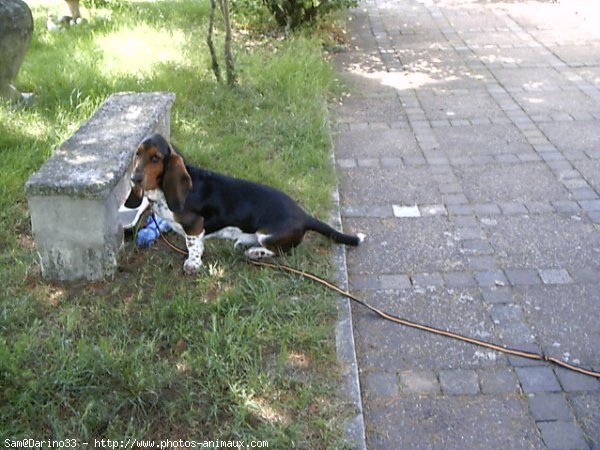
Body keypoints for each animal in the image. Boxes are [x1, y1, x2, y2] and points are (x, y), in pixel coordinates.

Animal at [126, 134, 366, 274]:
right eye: (137, 155)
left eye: (156, 158)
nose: (134, 179)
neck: (161, 192)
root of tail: (304, 215)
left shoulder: (194, 225)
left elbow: (193, 246)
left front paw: (192, 264)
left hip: (267, 234)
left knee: (280, 251)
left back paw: (255, 252)